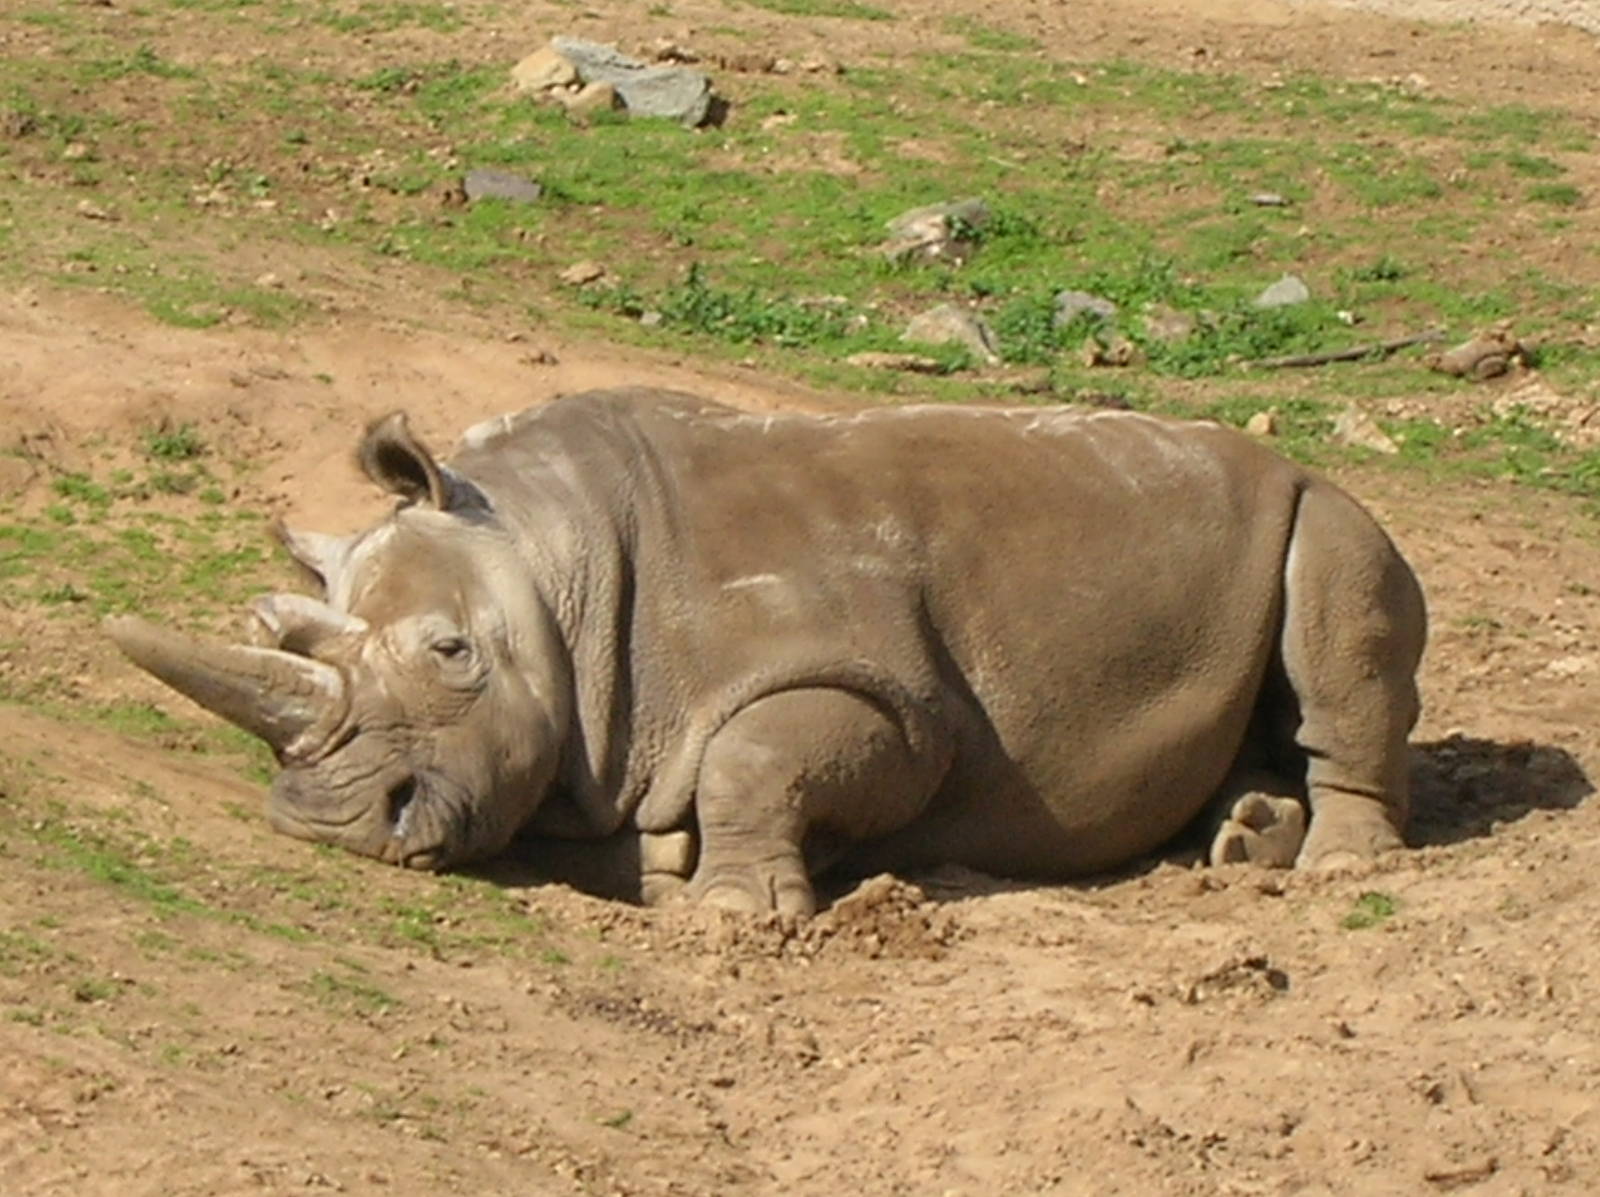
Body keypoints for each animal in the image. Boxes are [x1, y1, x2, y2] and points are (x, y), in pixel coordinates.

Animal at [108, 388, 1426, 914]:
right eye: (276, 633)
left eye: (449, 652)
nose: (332, 825)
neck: (548, 558)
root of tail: (1276, 452)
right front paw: (667, 866)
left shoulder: (886, 695)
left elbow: (762, 759)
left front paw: (738, 910)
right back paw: (1245, 840)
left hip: (1320, 502)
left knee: (1336, 598)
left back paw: (1337, 869)